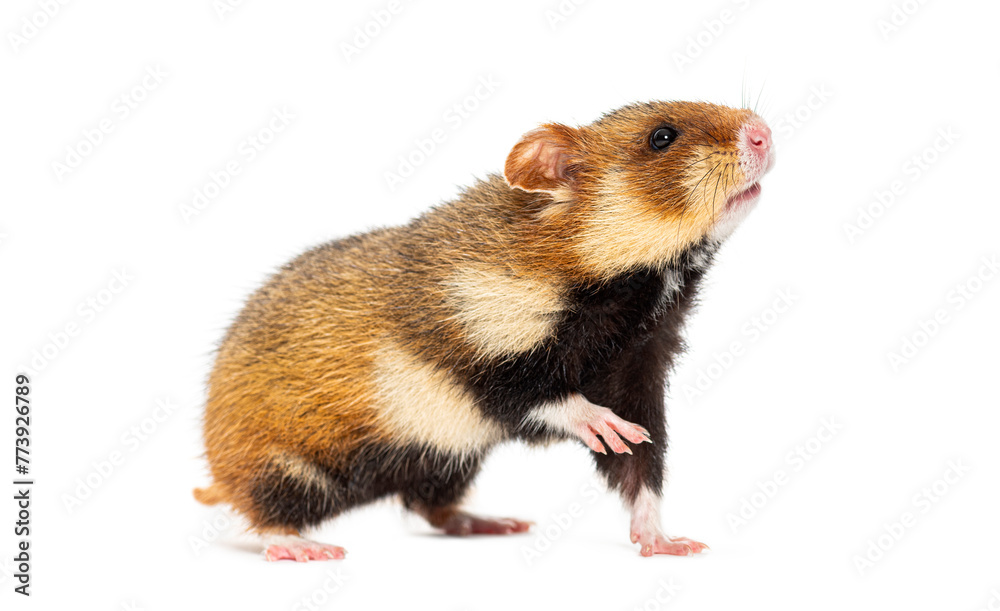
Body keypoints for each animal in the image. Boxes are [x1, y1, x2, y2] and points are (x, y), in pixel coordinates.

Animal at [194, 99, 774, 561]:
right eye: (662, 137)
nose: (764, 131)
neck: (636, 292)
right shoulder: (479, 355)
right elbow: (544, 399)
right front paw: (604, 426)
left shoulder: (639, 372)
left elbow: (642, 470)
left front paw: (668, 543)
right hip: (287, 470)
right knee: (264, 512)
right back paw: (303, 548)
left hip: (447, 462)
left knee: (430, 507)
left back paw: (494, 523)